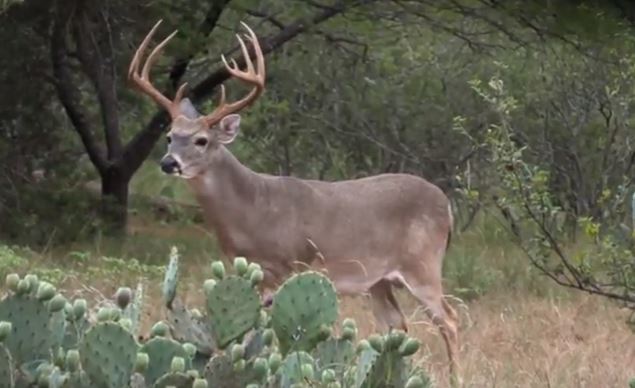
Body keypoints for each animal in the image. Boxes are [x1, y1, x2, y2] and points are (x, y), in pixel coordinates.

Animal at [126, 20, 460, 378]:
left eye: (201, 140)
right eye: (170, 137)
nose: (168, 162)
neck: (252, 209)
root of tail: (447, 206)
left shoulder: (289, 264)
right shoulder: (248, 268)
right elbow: (252, 334)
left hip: (423, 264)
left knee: (449, 320)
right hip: (379, 280)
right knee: (396, 325)